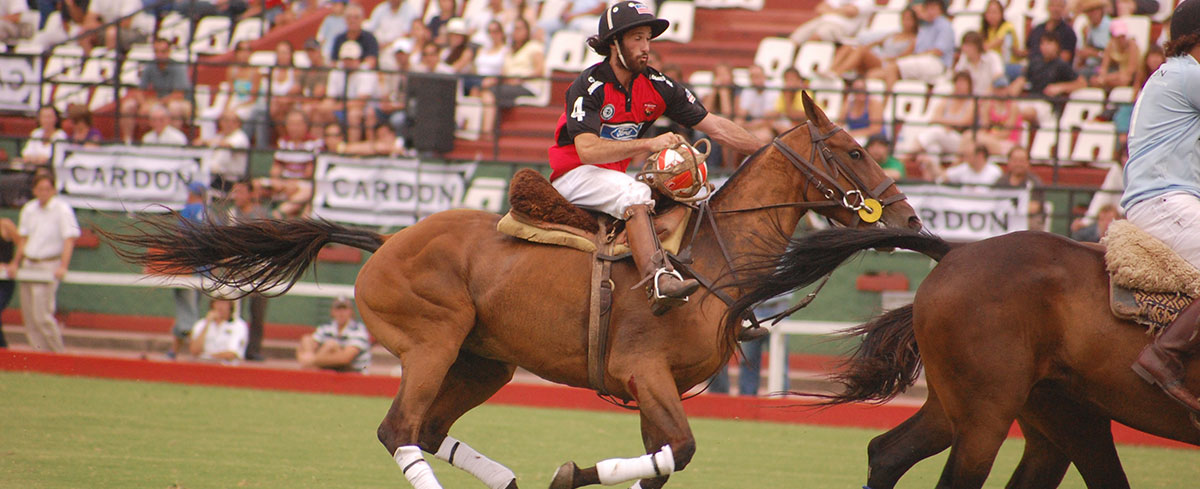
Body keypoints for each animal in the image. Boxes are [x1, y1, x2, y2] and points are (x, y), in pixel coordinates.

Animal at [105, 93, 916, 486]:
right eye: (851, 150)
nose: (908, 218)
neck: (709, 259)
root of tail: (383, 241)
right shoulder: (644, 373)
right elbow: (679, 452)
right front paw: (570, 472)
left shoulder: (658, 390)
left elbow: (664, 463)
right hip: (431, 340)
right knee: (399, 430)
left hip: (482, 360)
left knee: (429, 429)